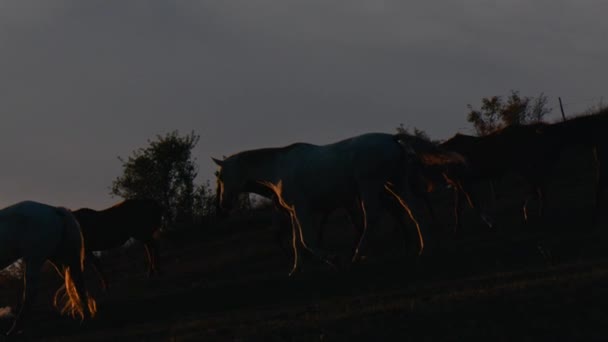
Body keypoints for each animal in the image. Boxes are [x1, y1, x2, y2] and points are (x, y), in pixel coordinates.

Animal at [0, 202, 97, 336]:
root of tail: (54, 210)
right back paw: (86, 320)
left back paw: (14, 330)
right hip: (60, 259)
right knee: (78, 284)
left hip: (35, 258)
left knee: (30, 294)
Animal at [213, 132, 460, 274]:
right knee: (414, 211)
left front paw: (333, 260)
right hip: (396, 183)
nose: (223, 206)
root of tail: (390, 138)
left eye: (221, 177)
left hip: (370, 188)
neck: (278, 168)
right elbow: (296, 242)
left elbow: (306, 240)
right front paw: (296, 270)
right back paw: (423, 249)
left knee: (372, 219)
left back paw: (357, 256)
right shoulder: (294, 212)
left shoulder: (302, 209)